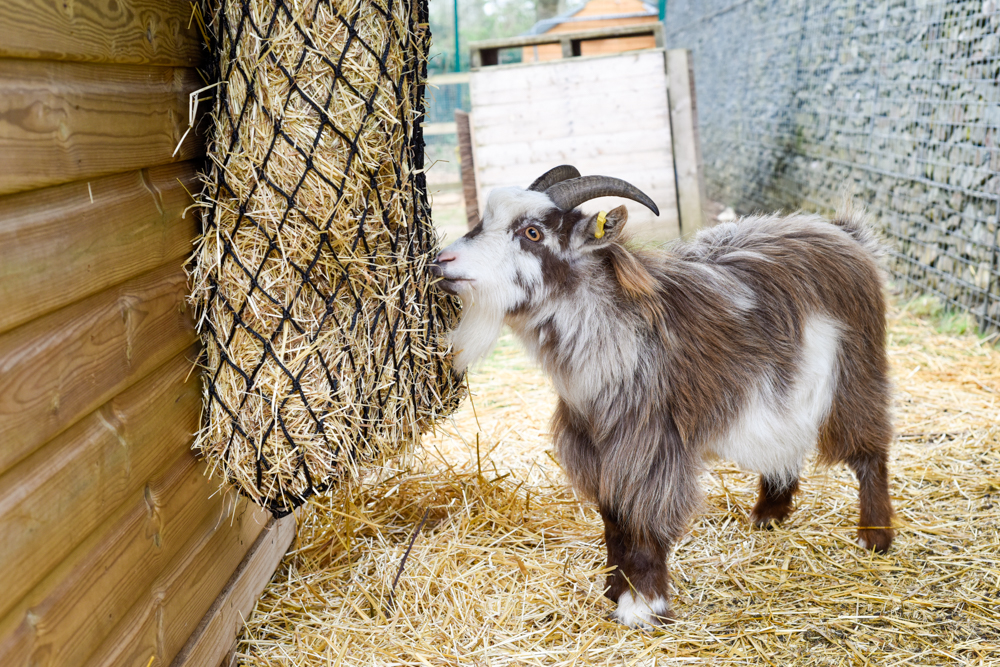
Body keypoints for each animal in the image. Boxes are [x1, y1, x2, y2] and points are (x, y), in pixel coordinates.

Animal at [430, 165, 895, 628]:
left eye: (532, 232)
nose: (442, 261)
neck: (617, 333)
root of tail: (845, 234)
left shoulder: (652, 446)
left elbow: (643, 519)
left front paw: (643, 603)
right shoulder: (599, 449)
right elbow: (613, 520)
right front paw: (614, 589)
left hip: (854, 374)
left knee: (870, 449)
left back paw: (875, 537)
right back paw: (769, 514)